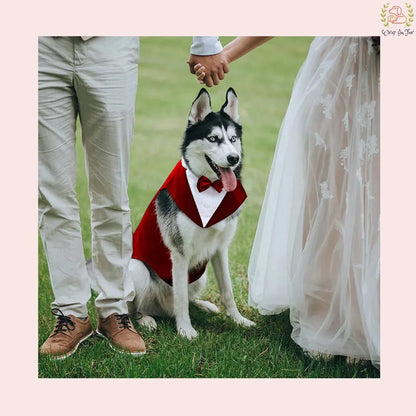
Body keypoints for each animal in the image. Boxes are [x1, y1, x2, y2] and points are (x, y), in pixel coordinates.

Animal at [128, 88, 255, 338]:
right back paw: (145, 320)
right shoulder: (180, 252)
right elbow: (181, 299)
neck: (211, 187)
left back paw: (204, 305)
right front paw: (186, 331)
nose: (233, 158)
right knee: (133, 307)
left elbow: (227, 290)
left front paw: (238, 320)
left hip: (200, 274)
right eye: (213, 139)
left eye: (233, 139)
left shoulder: (220, 248)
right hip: (138, 269)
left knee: (188, 298)